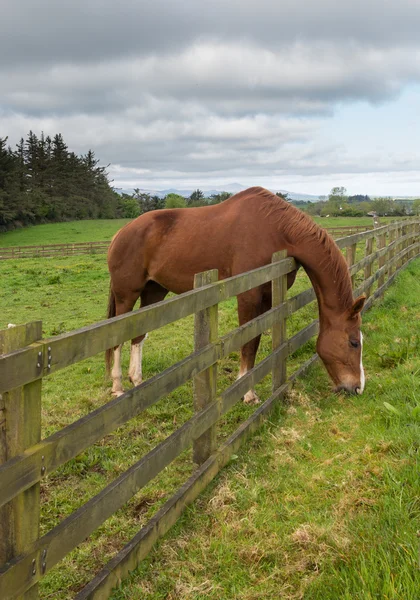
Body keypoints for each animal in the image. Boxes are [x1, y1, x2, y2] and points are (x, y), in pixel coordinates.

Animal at [106, 188, 366, 400]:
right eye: (354, 342)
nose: (358, 387)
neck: (279, 231)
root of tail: (121, 233)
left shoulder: (268, 297)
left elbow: (256, 337)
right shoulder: (248, 296)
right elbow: (248, 342)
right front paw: (247, 392)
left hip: (154, 291)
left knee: (138, 335)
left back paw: (137, 381)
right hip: (126, 294)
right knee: (117, 338)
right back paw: (118, 387)